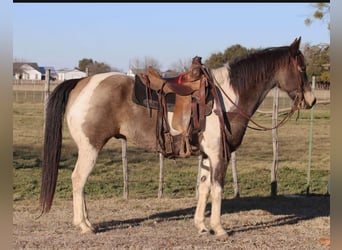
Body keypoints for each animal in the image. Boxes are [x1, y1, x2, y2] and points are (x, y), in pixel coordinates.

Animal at [39, 36, 316, 238]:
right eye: (301, 68)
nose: (311, 100)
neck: (227, 97)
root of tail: (81, 82)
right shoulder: (219, 155)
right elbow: (217, 189)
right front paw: (219, 228)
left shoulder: (207, 155)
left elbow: (203, 187)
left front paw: (202, 226)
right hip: (91, 148)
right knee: (78, 180)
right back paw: (84, 225)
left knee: (81, 183)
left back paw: (88, 222)